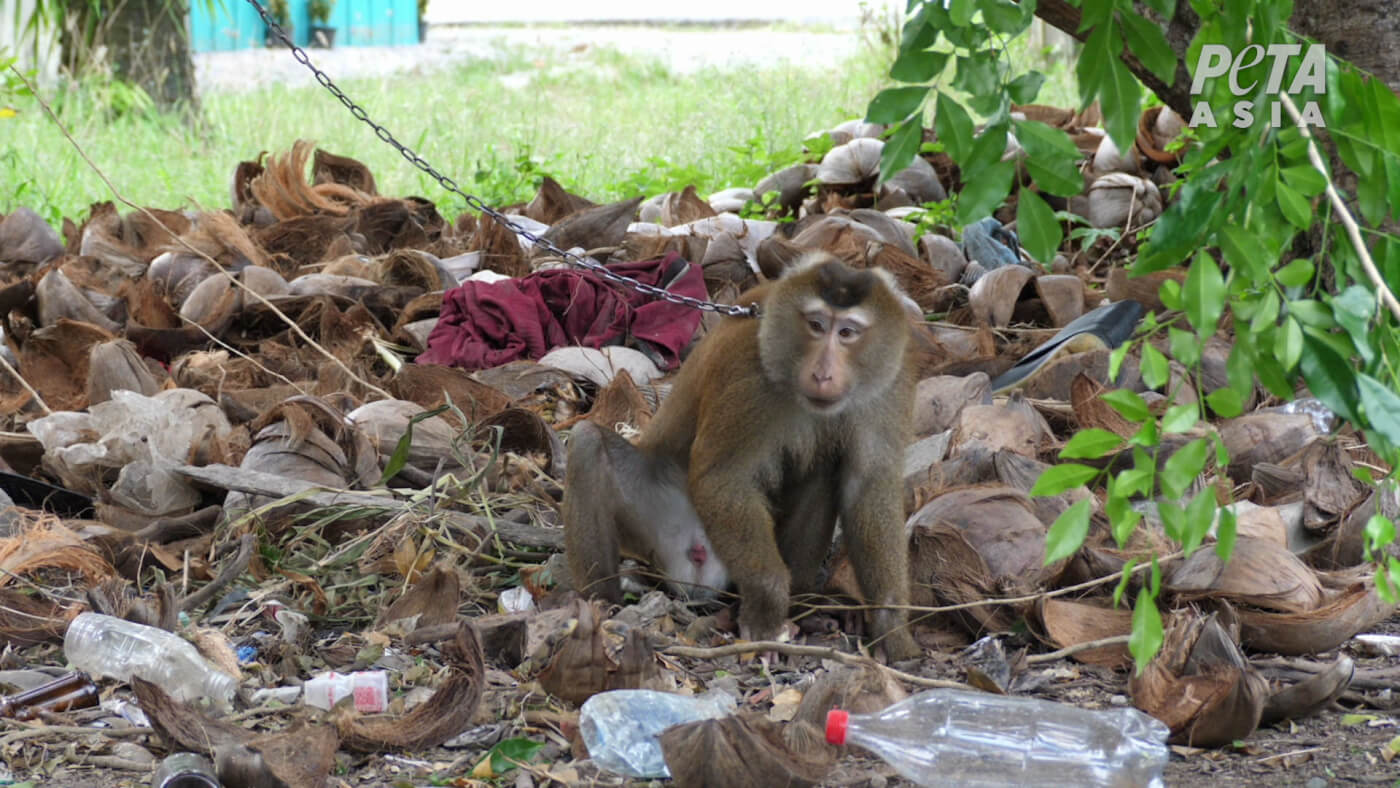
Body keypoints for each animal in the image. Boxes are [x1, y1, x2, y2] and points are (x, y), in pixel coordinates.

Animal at [557, 253, 918, 660]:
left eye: (847, 333)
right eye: (816, 325)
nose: (823, 374)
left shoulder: (888, 384)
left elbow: (869, 487)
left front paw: (892, 627)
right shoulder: (747, 373)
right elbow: (723, 479)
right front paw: (766, 611)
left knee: (824, 466)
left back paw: (805, 605)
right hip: (657, 519)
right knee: (587, 443)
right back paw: (602, 606)